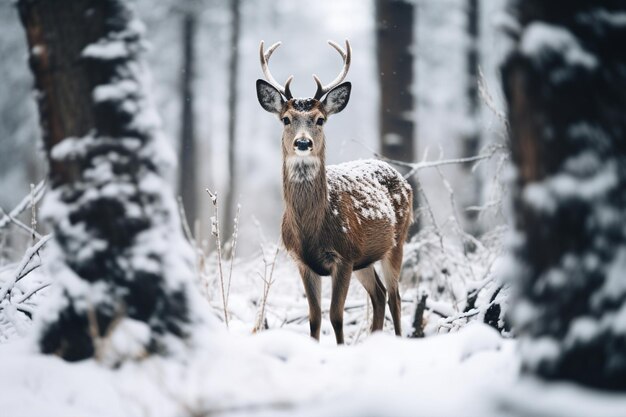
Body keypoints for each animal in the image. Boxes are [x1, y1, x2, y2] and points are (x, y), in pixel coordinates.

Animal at [256, 39, 412, 344]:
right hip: (365, 259)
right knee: (379, 294)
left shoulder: (344, 255)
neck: (311, 230)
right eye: (286, 119)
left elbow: (336, 316)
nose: (303, 143)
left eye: (320, 119)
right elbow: (315, 317)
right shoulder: (302, 261)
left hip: (396, 242)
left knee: (395, 297)